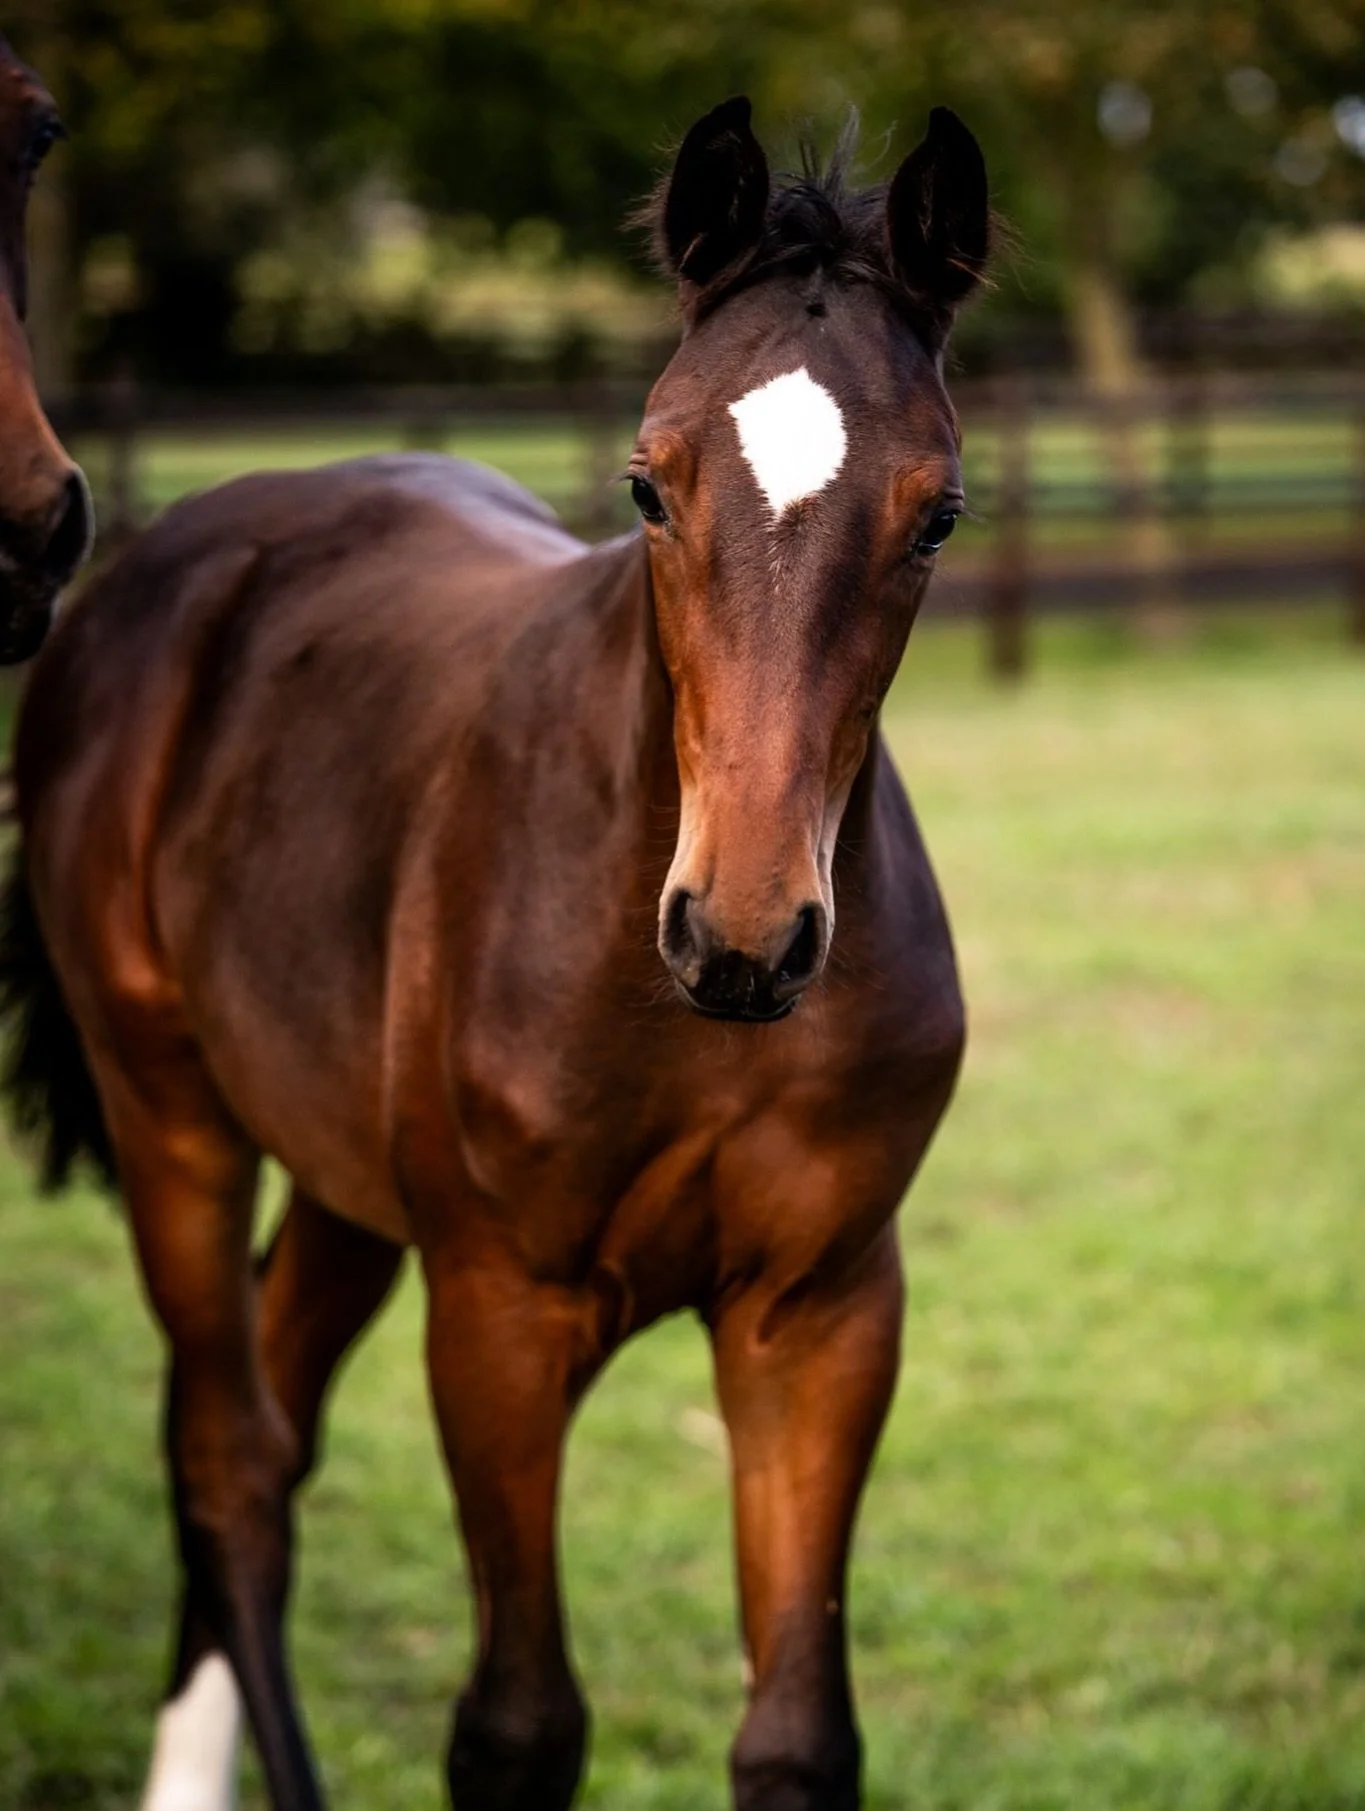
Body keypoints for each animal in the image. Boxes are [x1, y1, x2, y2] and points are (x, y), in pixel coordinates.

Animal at [0, 97, 987, 1811]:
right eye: (647, 485)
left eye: (935, 513)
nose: (741, 934)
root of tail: (166, 557)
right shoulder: (502, 1313)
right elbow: (518, 1726)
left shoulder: (822, 1312)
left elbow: (797, 1735)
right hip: (170, 1110)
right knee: (226, 1452)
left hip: (344, 1178)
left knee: (266, 1416)